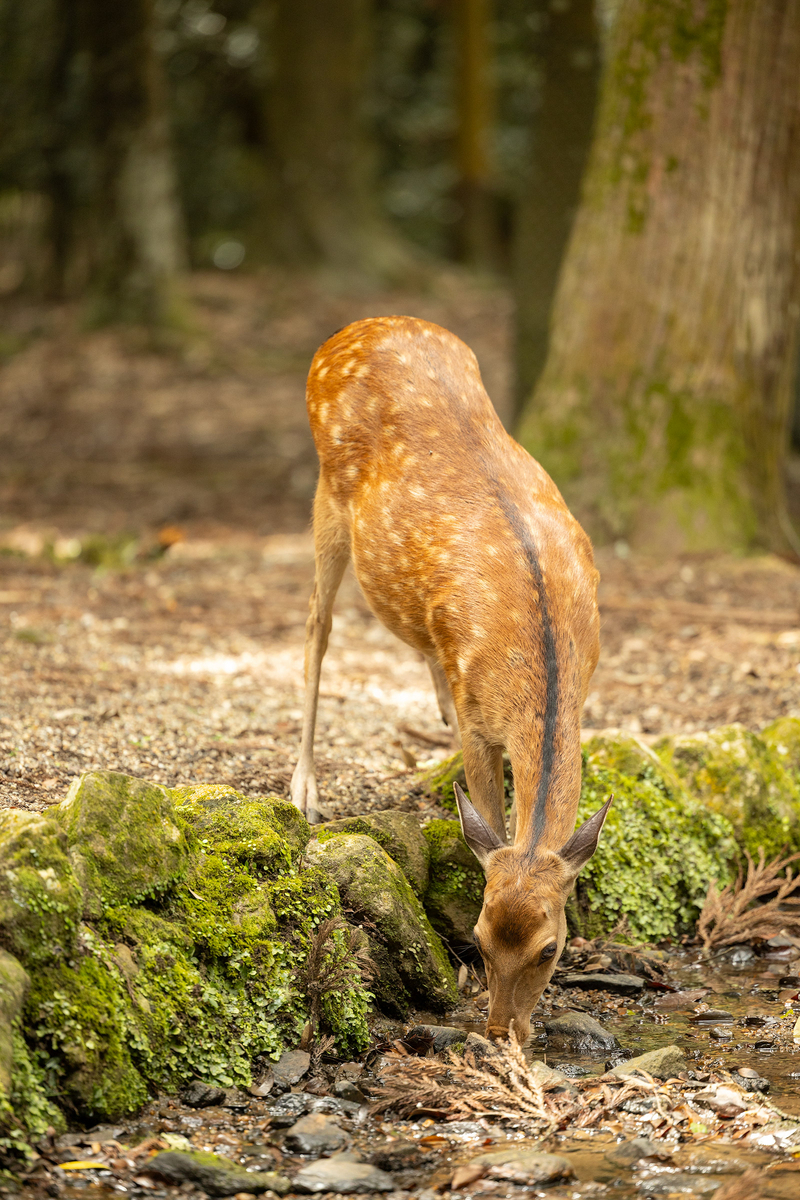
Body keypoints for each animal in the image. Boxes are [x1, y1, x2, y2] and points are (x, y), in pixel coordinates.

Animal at [291, 319, 609, 1041]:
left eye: (551, 948)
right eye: (480, 939)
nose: (499, 1032)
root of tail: (351, 329)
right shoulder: (480, 724)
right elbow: (486, 820)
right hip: (325, 494)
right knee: (317, 627)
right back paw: (305, 788)